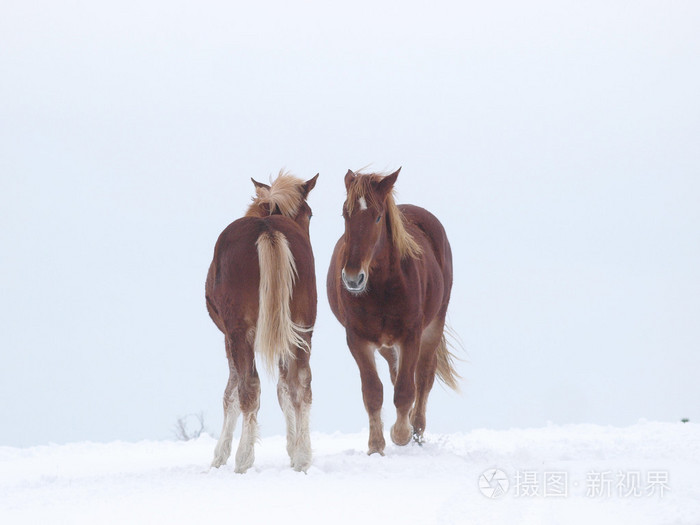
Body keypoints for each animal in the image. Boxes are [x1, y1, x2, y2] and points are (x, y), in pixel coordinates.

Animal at [206, 172, 318, 473]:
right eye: (309, 213)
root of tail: (268, 230)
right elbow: (284, 389)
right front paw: (293, 448)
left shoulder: (228, 336)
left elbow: (231, 393)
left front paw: (220, 455)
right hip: (302, 328)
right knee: (302, 383)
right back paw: (303, 457)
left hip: (240, 332)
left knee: (250, 388)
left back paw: (243, 459)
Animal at [327, 168, 458, 455]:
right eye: (345, 214)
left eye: (377, 216)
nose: (352, 278)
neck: (381, 289)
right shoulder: (358, 340)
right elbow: (373, 392)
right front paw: (376, 446)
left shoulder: (411, 336)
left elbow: (406, 390)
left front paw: (401, 434)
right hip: (387, 345)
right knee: (396, 374)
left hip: (433, 326)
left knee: (423, 377)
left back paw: (416, 429)